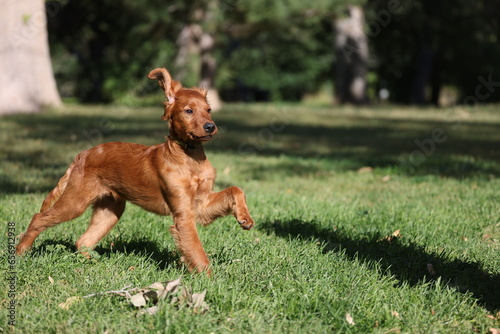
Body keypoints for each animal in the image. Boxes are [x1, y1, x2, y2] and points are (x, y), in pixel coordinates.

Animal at [15, 67, 254, 274]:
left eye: (209, 110)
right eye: (189, 111)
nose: (210, 127)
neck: (190, 157)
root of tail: (83, 154)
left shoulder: (201, 205)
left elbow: (236, 189)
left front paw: (245, 218)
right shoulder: (184, 215)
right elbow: (196, 250)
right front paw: (208, 280)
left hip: (110, 209)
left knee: (83, 241)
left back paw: (95, 264)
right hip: (75, 202)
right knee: (39, 218)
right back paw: (20, 253)